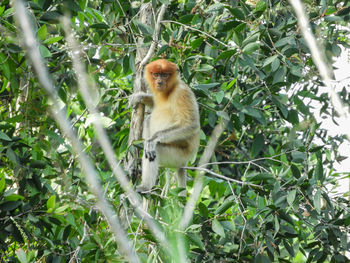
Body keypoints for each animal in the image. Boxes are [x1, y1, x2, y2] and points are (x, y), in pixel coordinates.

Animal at [130, 59, 200, 196]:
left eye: (165, 75)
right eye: (156, 74)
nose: (159, 82)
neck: (169, 90)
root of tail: (184, 162)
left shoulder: (182, 93)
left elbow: (191, 124)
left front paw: (151, 140)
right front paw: (139, 97)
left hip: (177, 156)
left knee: (154, 151)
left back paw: (145, 187)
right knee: (148, 120)